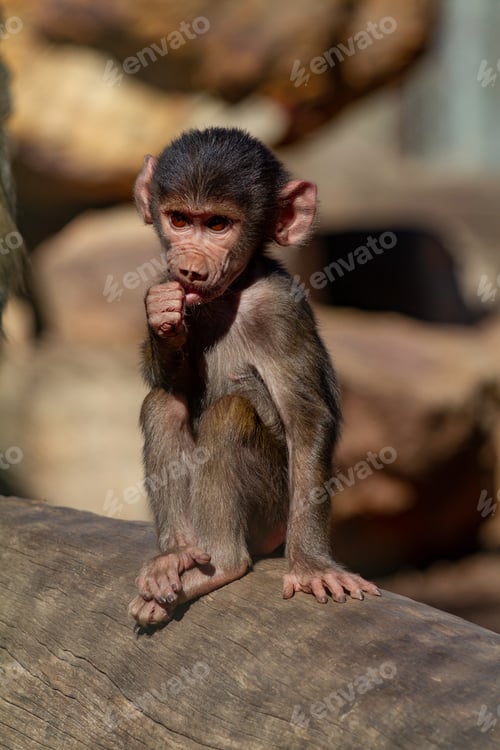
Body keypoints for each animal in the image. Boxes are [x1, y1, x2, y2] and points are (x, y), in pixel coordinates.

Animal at [128, 127, 380, 626]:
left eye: (218, 226)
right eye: (180, 220)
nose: (189, 268)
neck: (232, 292)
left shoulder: (279, 309)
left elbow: (306, 421)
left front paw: (312, 566)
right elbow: (175, 385)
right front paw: (162, 318)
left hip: (272, 511)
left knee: (230, 414)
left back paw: (222, 564)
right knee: (163, 404)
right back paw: (177, 556)